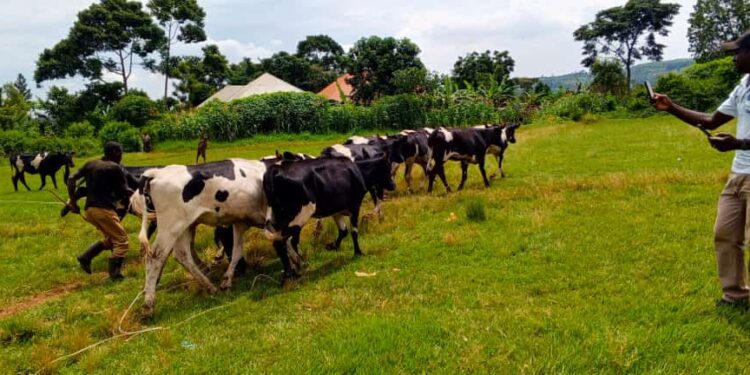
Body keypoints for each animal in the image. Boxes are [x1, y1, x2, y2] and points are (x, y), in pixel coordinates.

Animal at [262, 155, 394, 282]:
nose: (393, 185)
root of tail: (277, 169)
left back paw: (291, 272)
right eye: (387, 169)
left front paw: (332, 246)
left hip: (276, 218)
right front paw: (358, 252)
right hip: (299, 216)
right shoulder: (355, 206)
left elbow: (343, 231)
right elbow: (354, 232)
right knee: (286, 242)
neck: (359, 171)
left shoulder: (337, 210)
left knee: (281, 242)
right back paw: (295, 269)